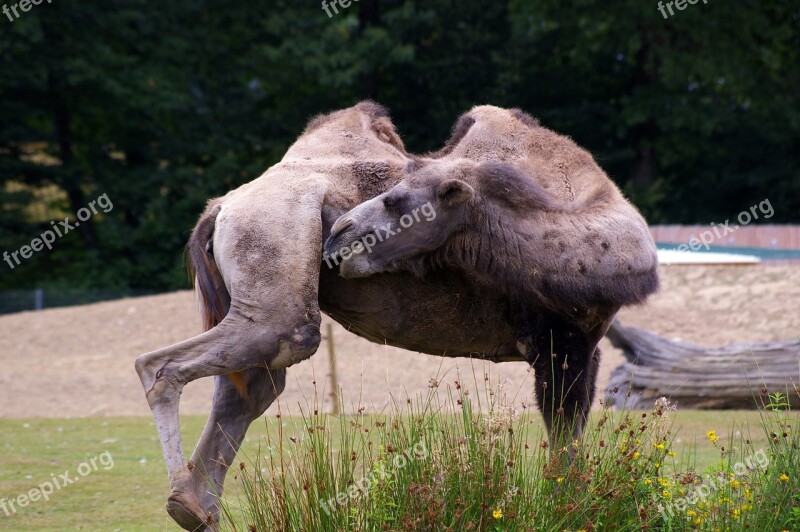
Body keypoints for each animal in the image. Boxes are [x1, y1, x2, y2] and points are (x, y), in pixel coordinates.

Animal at [136, 102, 656, 528]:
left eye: (395, 200)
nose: (338, 231)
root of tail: (221, 206)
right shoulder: (560, 341)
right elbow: (565, 439)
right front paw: (566, 511)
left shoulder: (581, 344)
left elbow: (569, 436)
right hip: (274, 267)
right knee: (170, 364)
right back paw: (184, 498)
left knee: (249, 387)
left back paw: (195, 508)